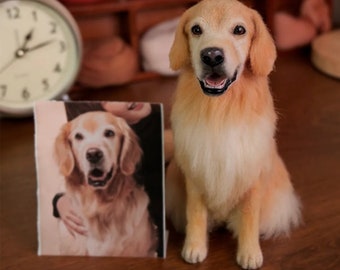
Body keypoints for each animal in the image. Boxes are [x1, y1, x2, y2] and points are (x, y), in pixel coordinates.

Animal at [166, 1, 302, 268]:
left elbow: (249, 218)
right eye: (196, 29)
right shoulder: (196, 173)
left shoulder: (251, 174)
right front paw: (194, 247)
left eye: (239, 30)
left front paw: (249, 253)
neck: (221, 108)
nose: (211, 56)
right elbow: (195, 214)